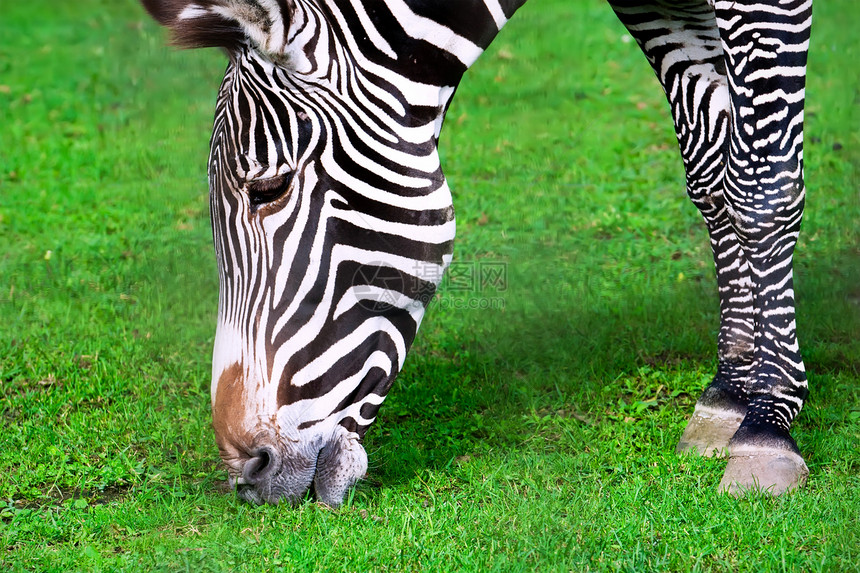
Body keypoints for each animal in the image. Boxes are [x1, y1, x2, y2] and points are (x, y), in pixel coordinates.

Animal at [139, 0, 812, 504]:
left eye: (270, 189)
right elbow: (711, 168)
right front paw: (730, 391)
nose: (246, 474)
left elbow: (760, 184)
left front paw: (767, 423)